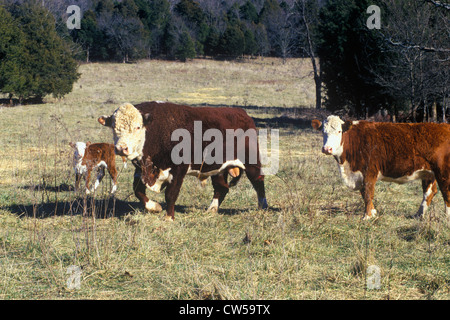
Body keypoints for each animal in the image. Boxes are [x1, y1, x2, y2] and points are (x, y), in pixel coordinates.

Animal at [98, 102, 268, 220]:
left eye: (138, 127)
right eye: (113, 127)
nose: (121, 148)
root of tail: (241, 113)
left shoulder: (178, 169)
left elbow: (171, 194)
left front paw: (169, 218)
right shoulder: (141, 169)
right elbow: (138, 190)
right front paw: (154, 207)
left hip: (251, 162)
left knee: (258, 181)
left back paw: (263, 206)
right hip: (218, 168)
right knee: (222, 188)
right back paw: (212, 209)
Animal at [312, 115, 450, 220]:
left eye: (339, 131)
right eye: (323, 132)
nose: (327, 149)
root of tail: (444, 126)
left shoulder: (369, 172)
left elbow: (368, 193)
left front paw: (367, 216)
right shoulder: (360, 175)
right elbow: (364, 194)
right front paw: (373, 213)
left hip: (443, 171)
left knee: (446, 192)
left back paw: (447, 217)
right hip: (429, 173)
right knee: (429, 192)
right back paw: (418, 215)